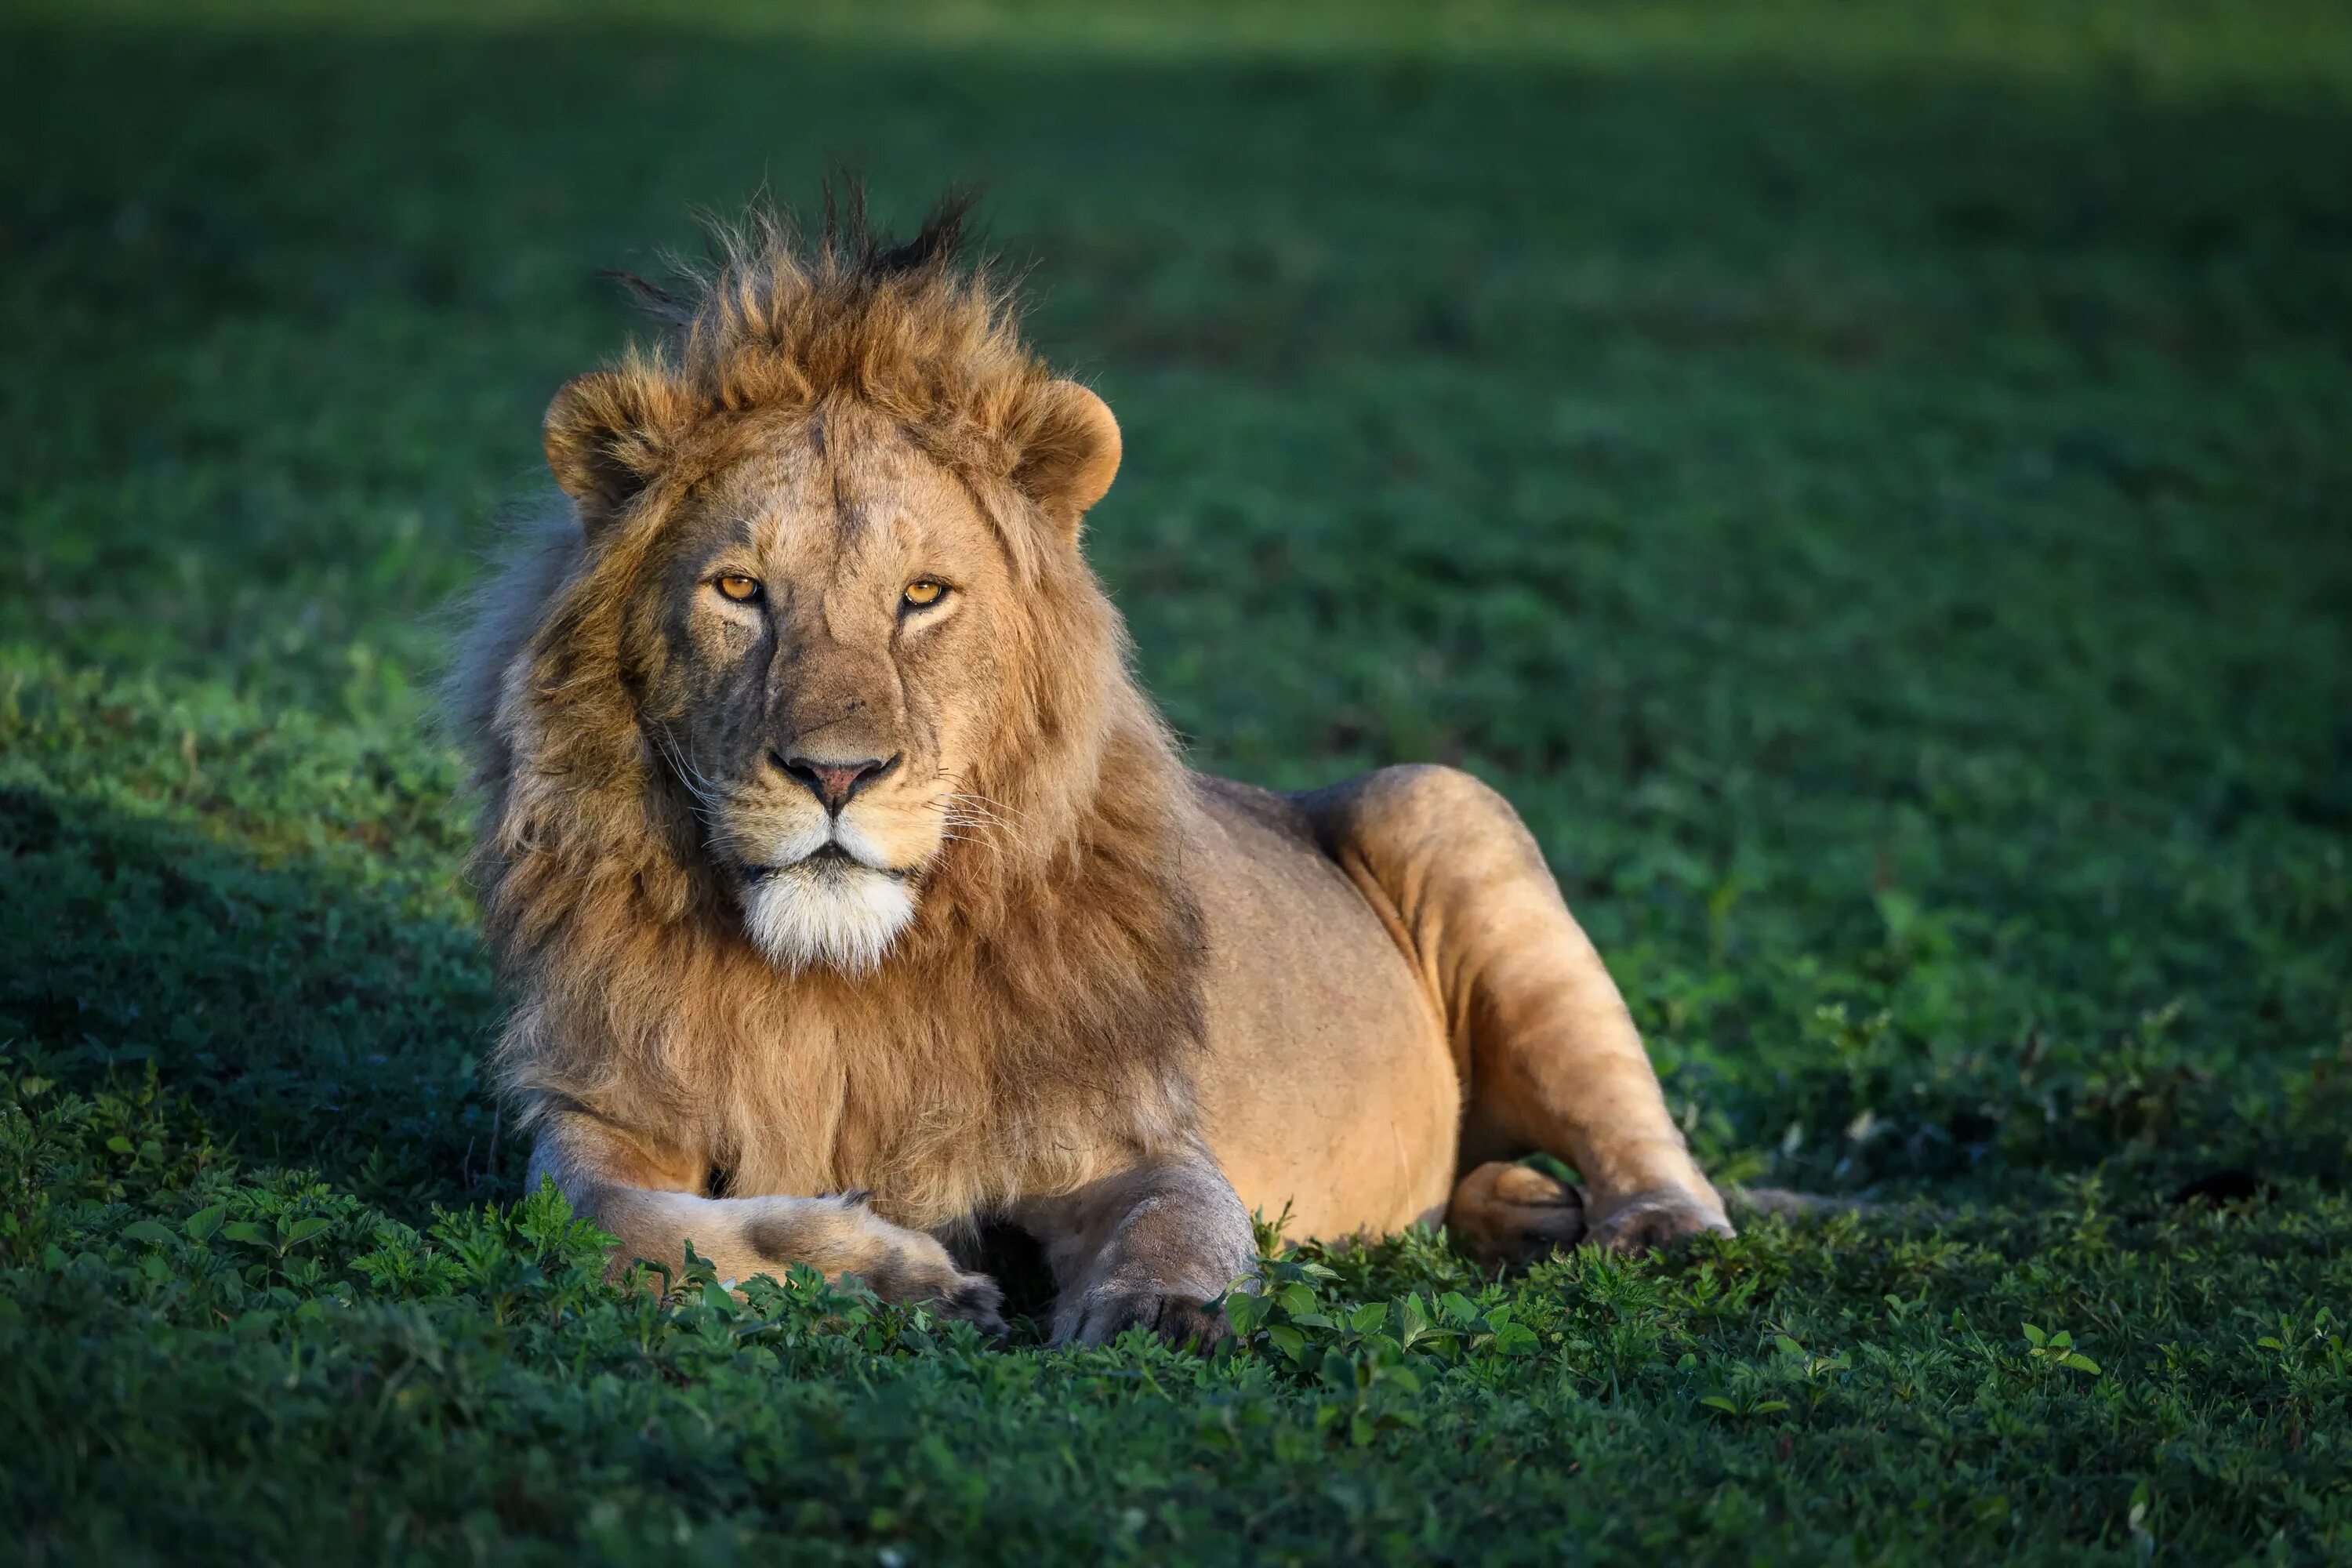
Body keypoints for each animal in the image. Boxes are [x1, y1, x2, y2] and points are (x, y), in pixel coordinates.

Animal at [449, 192, 1731, 1354]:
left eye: (923, 596)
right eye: (738, 590)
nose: (836, 774)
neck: (838, 987)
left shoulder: (1125, 1135)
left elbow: (1186, 1218)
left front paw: (1161, 1311)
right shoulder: (597, 1110)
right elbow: (624, 1220)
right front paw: (900, 1279)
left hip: (1442, 802)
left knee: (1651, 1145)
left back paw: (1652, 1232)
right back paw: (1523, 1213)